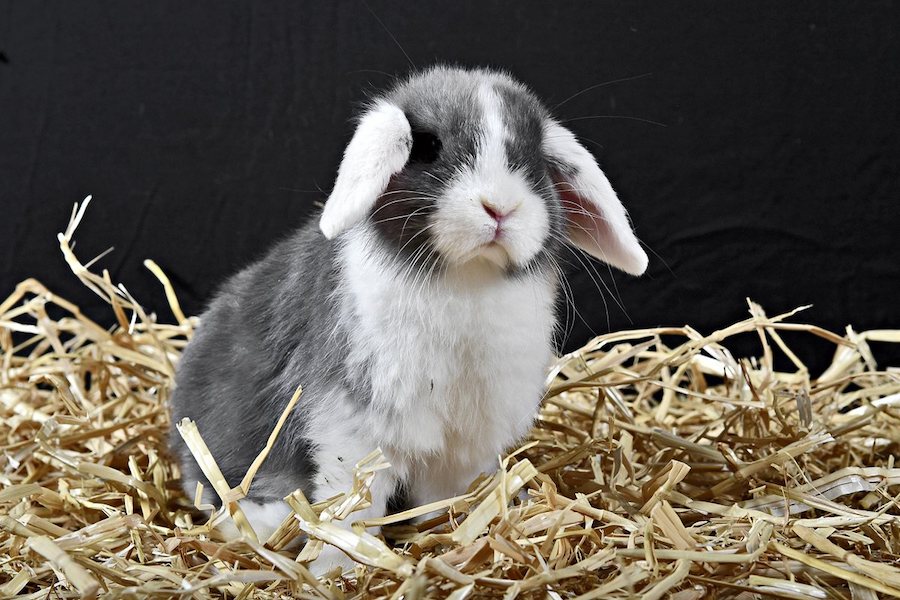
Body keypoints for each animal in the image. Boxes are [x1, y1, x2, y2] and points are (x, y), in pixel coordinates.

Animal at [168, 65, 648, 573]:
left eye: (534, 161)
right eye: (429, 147)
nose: (500, 207)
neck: (466, 279)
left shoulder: (464, 442)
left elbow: (443, 496)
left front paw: (448, 537)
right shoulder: (355, 430)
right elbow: (352, 505)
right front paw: (340, 567)